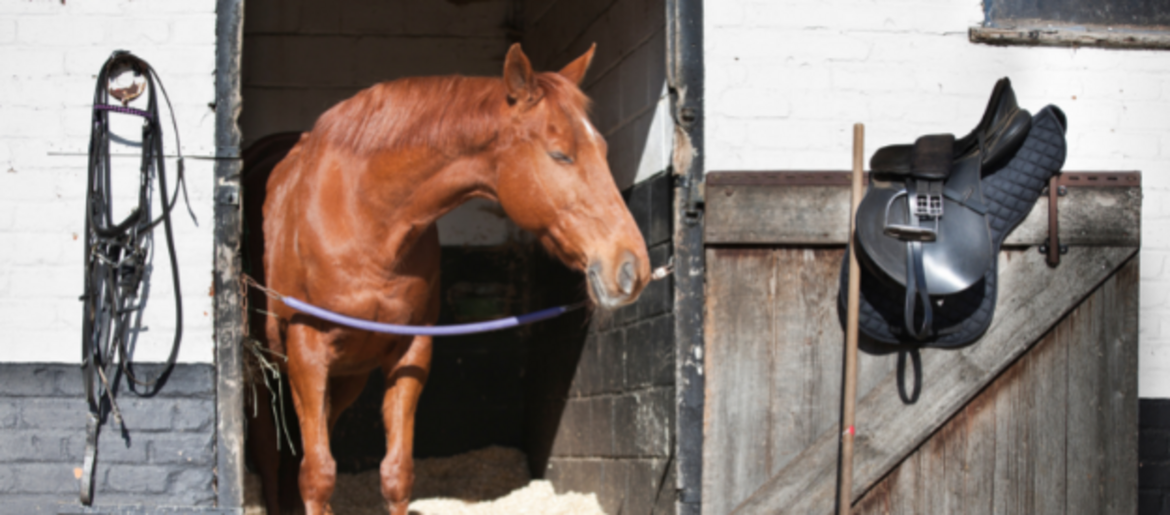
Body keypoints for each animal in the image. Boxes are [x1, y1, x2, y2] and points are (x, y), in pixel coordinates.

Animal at [251, 44, 650, 515]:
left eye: (603, 149)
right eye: (560, 154)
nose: (633, 267)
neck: (363, 217)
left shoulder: (410, 351)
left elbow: (395, 475)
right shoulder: (308, 352)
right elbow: (318, 476)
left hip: (347, 376)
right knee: (272, 452)